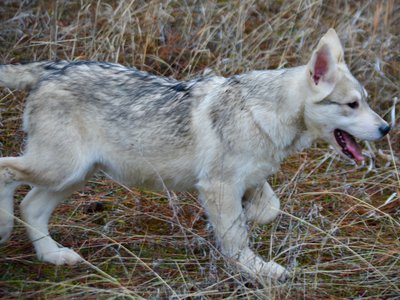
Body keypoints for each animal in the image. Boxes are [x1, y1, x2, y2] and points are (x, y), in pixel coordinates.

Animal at [0, 29, 390, 280]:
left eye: (367, 101)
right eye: (352, 105)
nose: (386, 128)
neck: (264, 114)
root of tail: (52, 67)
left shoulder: (248, 180)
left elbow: (267, 209)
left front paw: (250, 219)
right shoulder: (218, 185)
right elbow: (236, 238)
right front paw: (257, 270)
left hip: (75, 175)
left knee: (31, 206)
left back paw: (53, 255)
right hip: (61, 169)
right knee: (6, 171)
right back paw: (4, 228)